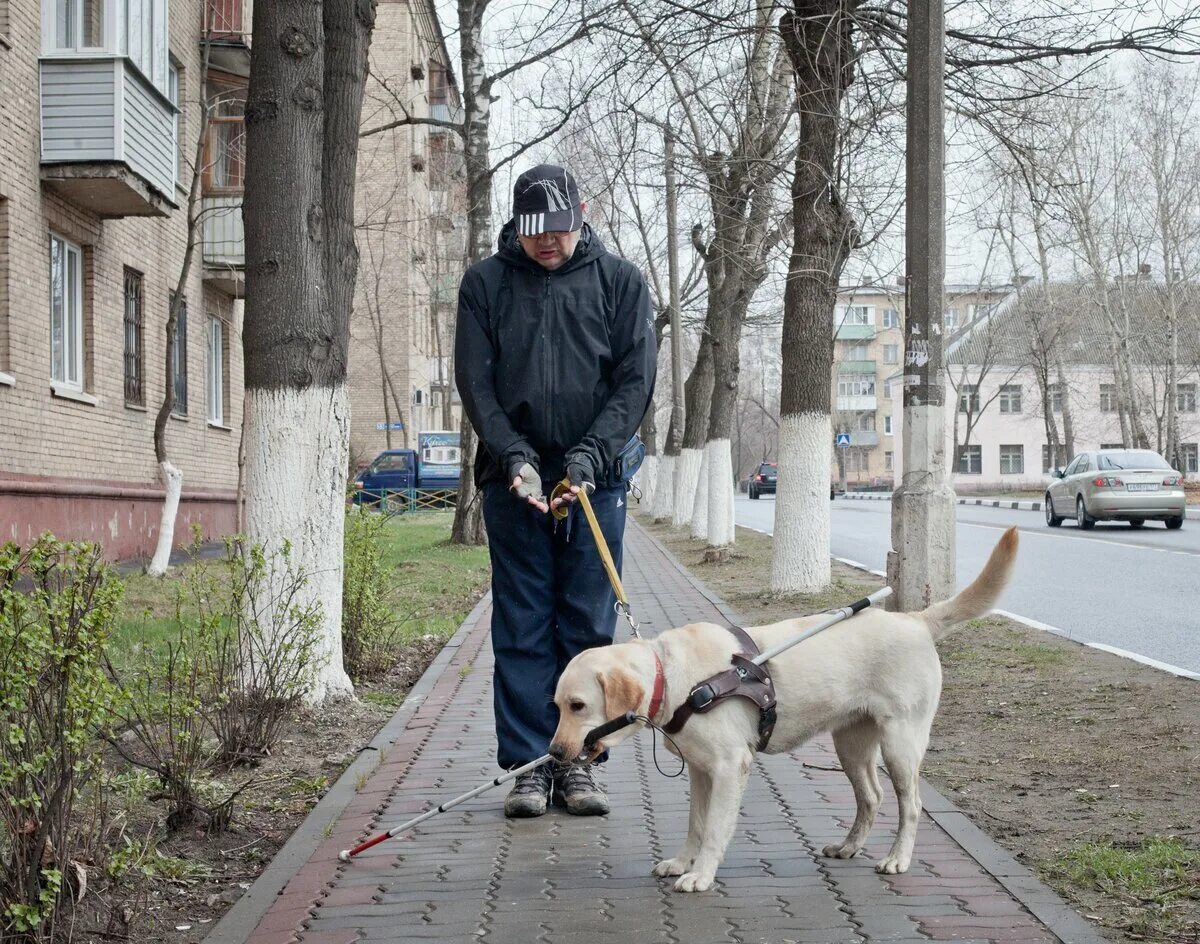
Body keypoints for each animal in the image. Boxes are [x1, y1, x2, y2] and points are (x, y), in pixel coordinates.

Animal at [549, 532, 1017, 892]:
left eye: (578, 706)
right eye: (556, 706)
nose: (553, 753)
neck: (675, 677)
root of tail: (916, 620)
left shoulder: (729, 766)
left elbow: (714, 828)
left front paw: (700, 875)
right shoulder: (701, 771)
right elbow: (695, 825)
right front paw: (682, 862)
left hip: (901, 744)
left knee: (910, 804)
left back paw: (897, 858)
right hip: (851, 745)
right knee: (871, 797)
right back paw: (848, 847)